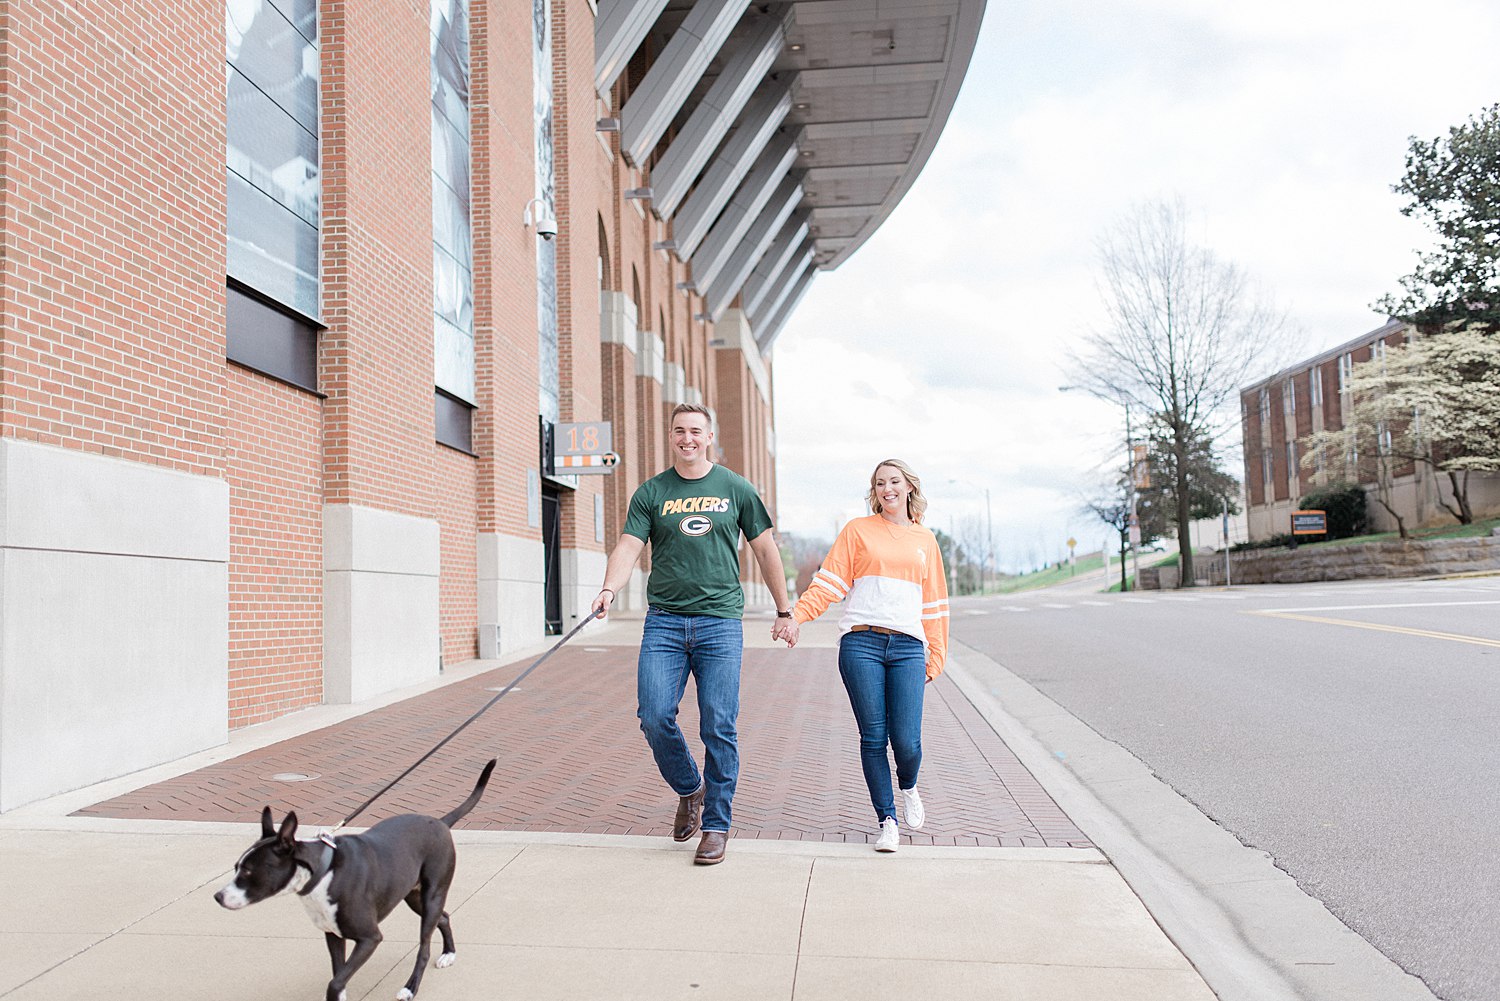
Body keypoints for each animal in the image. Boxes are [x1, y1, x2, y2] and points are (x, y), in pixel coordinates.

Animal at [216, 759, 498, 1001]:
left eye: (248, 871)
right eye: (236, 867)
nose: (217, 896)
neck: (323, 872)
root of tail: (440, 822)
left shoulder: (369, 938)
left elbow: (335, 982)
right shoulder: (333, 935)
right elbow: (338, 976)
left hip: (432, 895)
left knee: (424, 948)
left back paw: (410, 988)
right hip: (415, 896)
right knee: (444, 917)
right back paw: (449, 953)